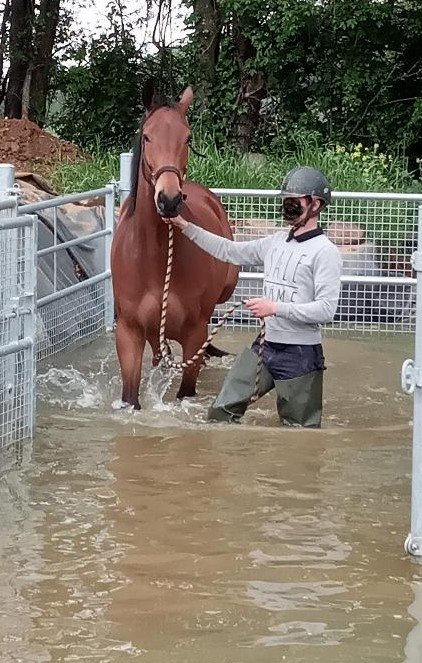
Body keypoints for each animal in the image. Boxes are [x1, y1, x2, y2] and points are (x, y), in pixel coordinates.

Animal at [111, 86, 238, 409]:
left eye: (188, 137)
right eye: (147, 136)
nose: (169, 200)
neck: (155, 260)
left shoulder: (195, 333)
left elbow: (186, 391)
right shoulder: (129, 333)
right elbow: (130, 396)